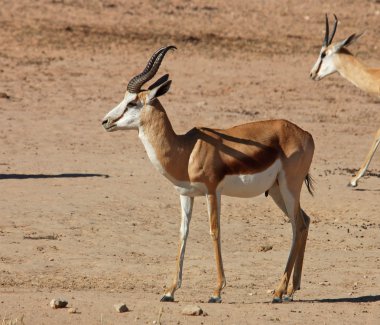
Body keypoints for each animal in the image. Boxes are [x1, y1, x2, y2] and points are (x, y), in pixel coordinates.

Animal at [101, 45, 314, 302]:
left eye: (132, 102)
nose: (106, 121)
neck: (186, 150)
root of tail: (305, 134)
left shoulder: (212, 192)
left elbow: (215, 231)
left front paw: (217, 291)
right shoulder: (185, 194)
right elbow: (183, 233)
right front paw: (169, 291)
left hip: (289, 186)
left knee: (298, 225)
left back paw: (279, 291)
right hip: (276, 190)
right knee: (303, 221)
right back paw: (291, 290)